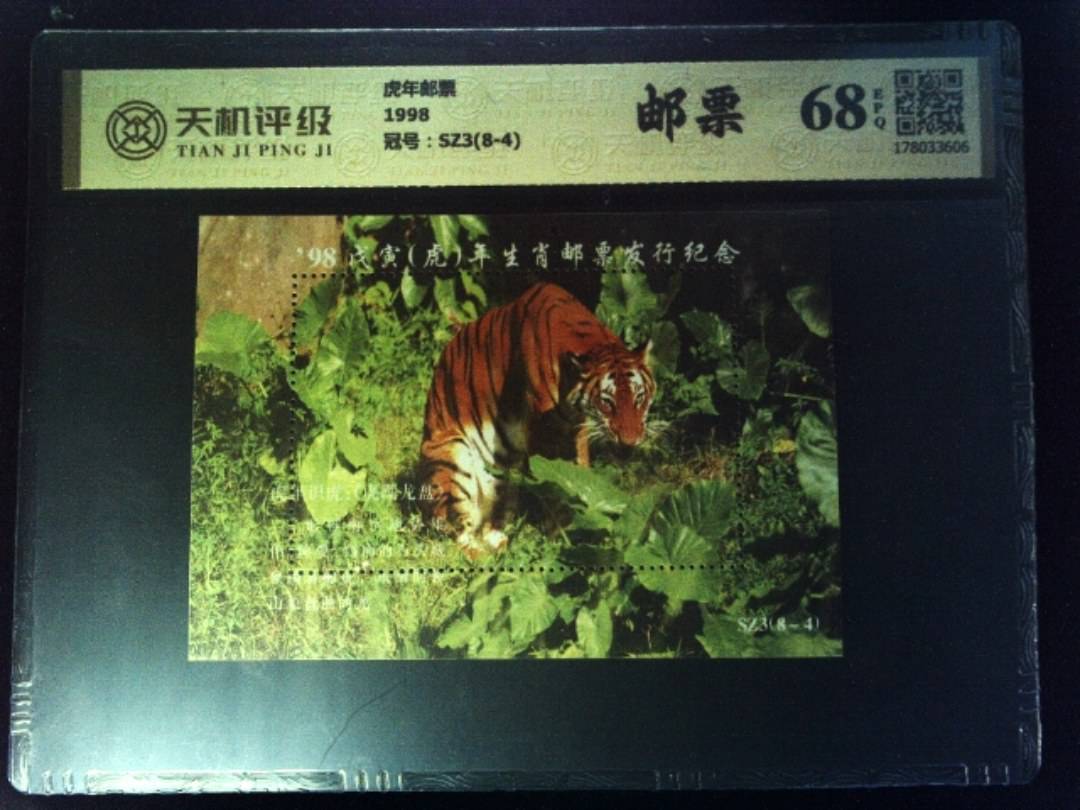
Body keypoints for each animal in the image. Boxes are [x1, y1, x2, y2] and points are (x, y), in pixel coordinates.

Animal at [419, 282, 656, 558]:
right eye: (607, 403)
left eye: (639, 398)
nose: (630, 441)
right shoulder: (542, 432)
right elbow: (553, 485)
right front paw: (562, 535)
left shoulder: (577, 428)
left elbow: (579, 470)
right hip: (452, 461)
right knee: (457, 538)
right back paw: (486, 557)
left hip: (505, 477)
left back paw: (502, 544)